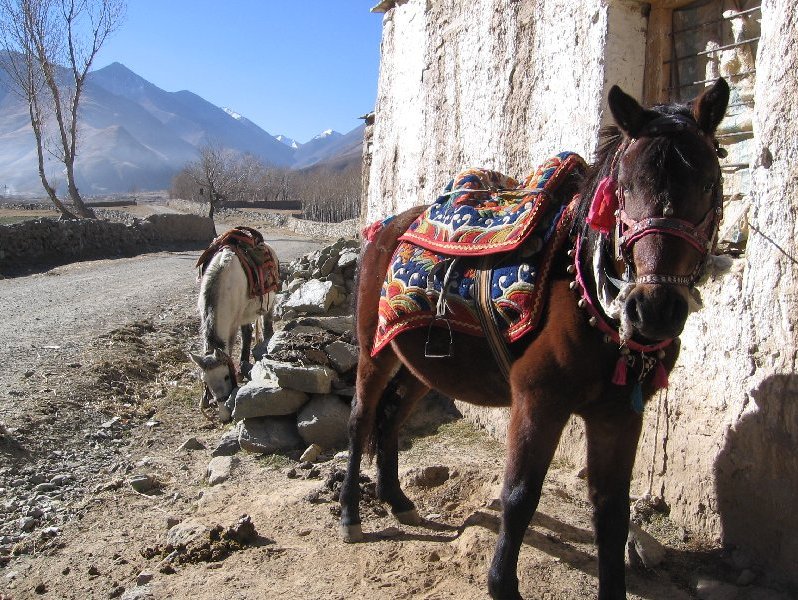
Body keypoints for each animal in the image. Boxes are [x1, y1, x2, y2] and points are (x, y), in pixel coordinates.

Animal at [342, 79, 732, 600]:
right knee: (362, 419)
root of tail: (386, 227)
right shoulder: (538, 399)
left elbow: (612, 511)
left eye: (709, 184)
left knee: (391, 419)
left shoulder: (619, 414)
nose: (653, 310)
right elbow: (520, 495)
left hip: (420, 365)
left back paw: (397, 499)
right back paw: (350, 515)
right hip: (375, 352)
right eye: (625, 188)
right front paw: (502, 584)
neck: (590, 294)